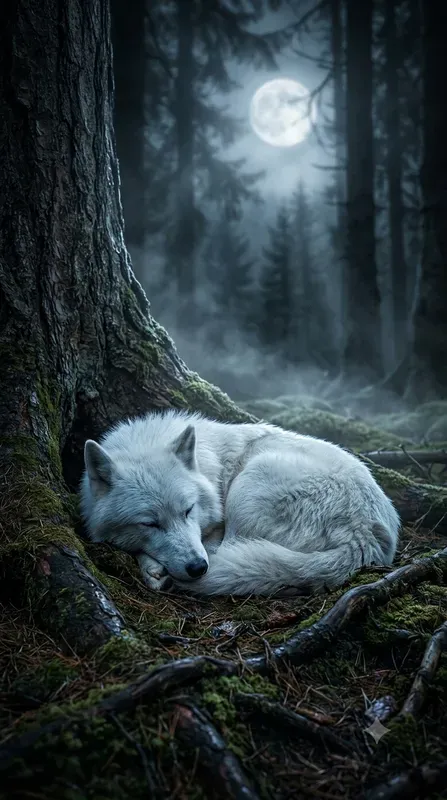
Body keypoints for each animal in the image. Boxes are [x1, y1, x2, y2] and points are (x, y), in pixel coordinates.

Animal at [80, 409, 399, 596]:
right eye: (149, 523)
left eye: (188, 511)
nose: (198, 568)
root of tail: (362, 536)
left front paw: (153, 568)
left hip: (248, 486)